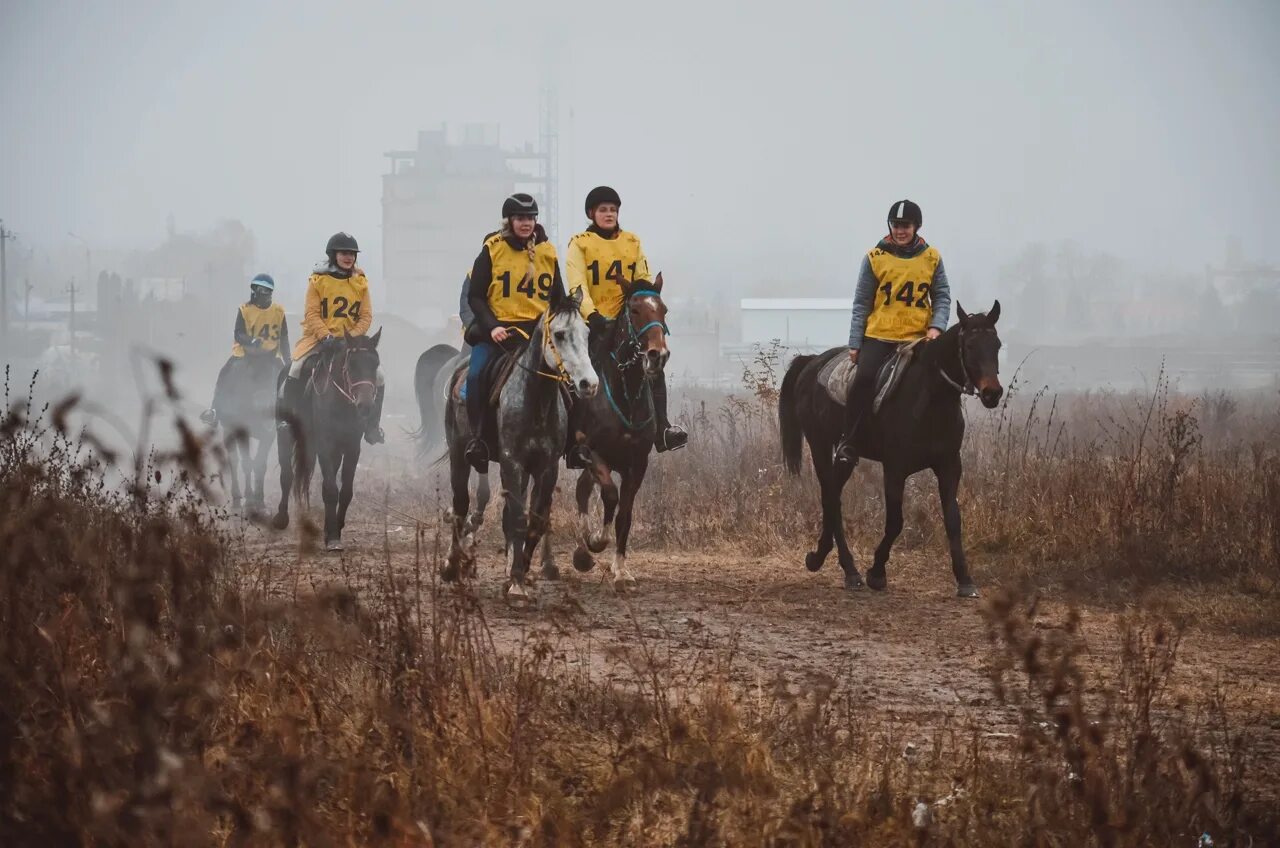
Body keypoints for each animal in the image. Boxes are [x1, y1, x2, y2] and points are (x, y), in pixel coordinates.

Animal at [215, 350, 282, 512]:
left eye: (277, 374)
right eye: (254, 375)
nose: (267, 405)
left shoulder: (268, 435)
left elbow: (260, 464)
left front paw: (260, 501)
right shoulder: (242, 433)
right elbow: (246, 463)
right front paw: (250, 501)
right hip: (228, 431)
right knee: (233, 461)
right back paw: (237, 500)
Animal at [272, 327, 381, 555]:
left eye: (375, 364)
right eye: (352, 364)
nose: (366, 406)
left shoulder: (351, 447)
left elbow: (345, 491)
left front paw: (334, 530)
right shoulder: (324, 444)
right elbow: (330, 489)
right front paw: (332, 538)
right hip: (284, 436)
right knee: (287, 475)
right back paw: (281, 518)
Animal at [558, 275, 675, 594]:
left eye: (663, 310)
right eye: (634, 310)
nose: (657, 355)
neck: (626, 394)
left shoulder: (637, 463)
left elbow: (625, 514)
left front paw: (621, 571)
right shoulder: (593, 454)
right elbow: (610, 496)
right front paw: (597, 541)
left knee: (582, 490)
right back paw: (584, 550)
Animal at [773, 303, 1003, 596]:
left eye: (996, 344)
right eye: (970, 345)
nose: (992, 393)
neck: (930, 400)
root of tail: (812, 362)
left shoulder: (949, 465)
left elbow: (953, 520)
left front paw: (965, 579)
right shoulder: (895, 468)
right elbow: (895, 522)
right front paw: (876, 572)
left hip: (843, 456)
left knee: (832, 496)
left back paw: (822, 558)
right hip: (820, 445)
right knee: (830, 497)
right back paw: (848, 570)